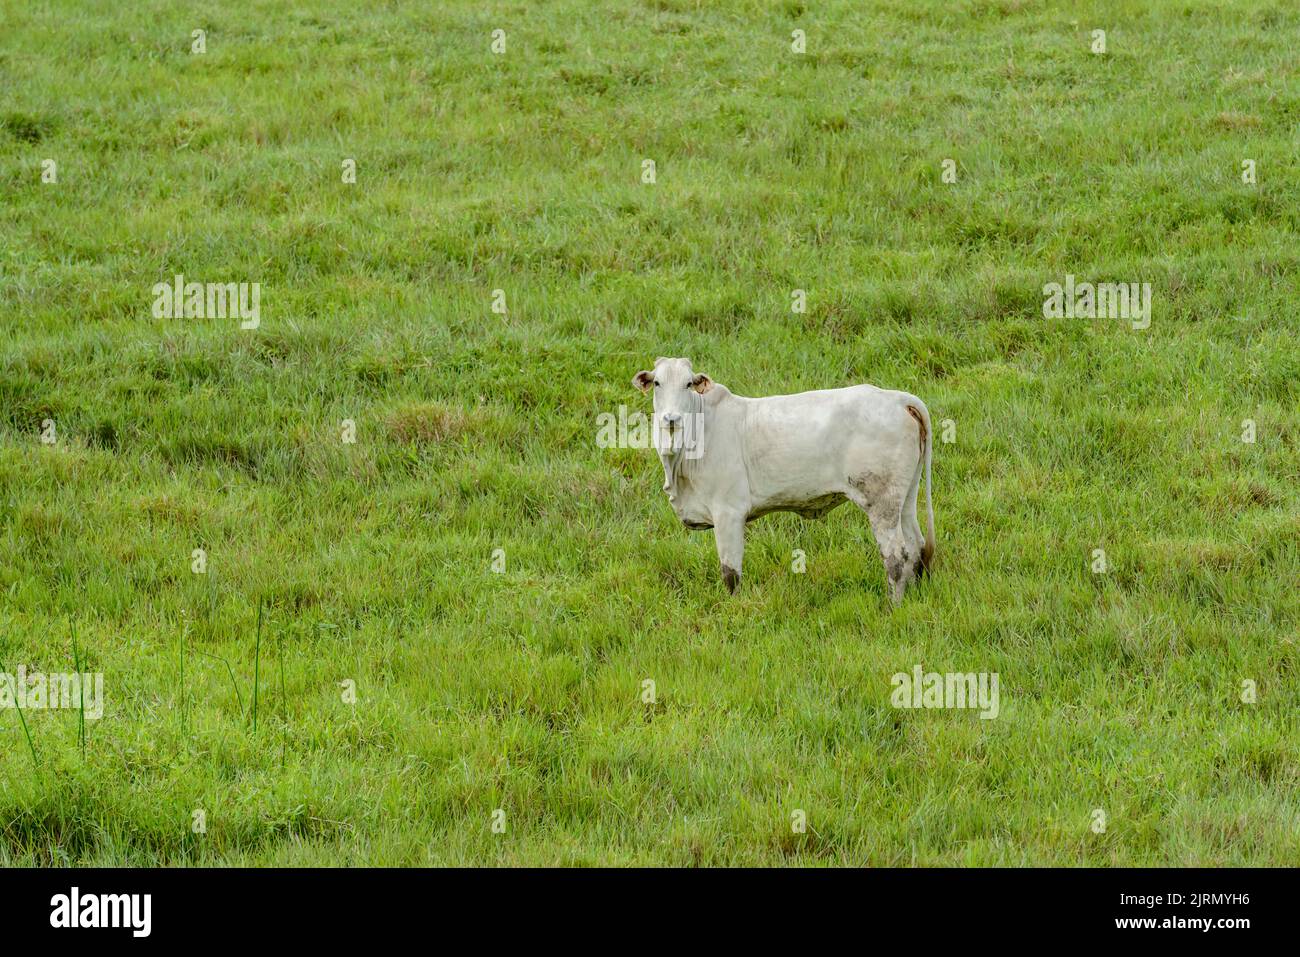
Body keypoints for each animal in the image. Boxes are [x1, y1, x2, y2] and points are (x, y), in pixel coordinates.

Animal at [631, 358, 930, 605]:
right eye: (657, 383)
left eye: (688, 384)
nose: (671, 418)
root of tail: (896, 398)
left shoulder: (729, 512)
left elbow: (731, 573)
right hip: (904, 498)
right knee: (916, 546)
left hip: (881, 504)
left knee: (896, 555)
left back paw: (892, 606)